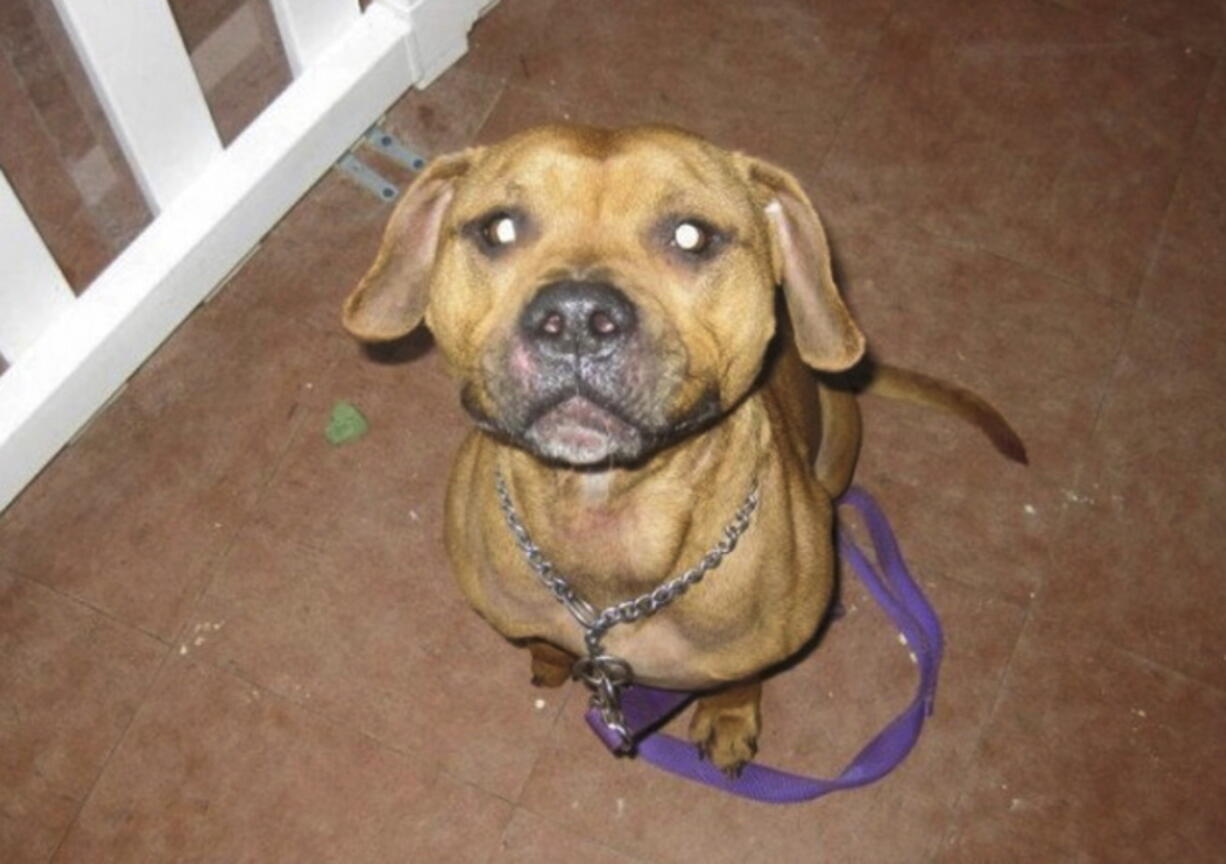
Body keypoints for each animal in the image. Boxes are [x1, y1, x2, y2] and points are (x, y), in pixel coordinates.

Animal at [338, 123, 1024, 774]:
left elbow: (741, 678)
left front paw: (728, 716)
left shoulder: (756, 647)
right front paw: (549, 658)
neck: (607, 520)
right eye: (498, 228)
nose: (577, 317)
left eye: (692, 236)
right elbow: (545, 641)